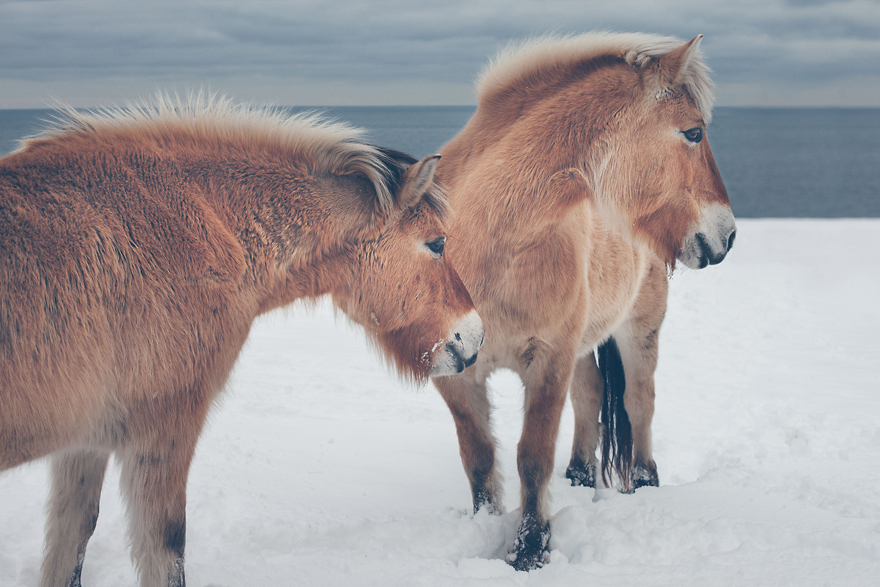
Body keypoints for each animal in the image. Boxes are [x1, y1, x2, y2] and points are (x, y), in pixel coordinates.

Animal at [0, 94, 483, 587]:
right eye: (437, 243)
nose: (474, 335)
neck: (203, 225)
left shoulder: (84, 445)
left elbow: (69, 540)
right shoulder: (164, 429)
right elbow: (165, 549)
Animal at [431, 32, 736, 570]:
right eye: (694, 132)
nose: (729, 235)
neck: (483, 245)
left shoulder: (548, 359)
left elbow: (531, 456)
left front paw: (530, 551)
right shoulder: (457, 375)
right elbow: (479, 457)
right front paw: (487, 528)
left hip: (639, 330)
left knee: (639, 403)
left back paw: (644, 483)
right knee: (591, 395)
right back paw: (578, 476)